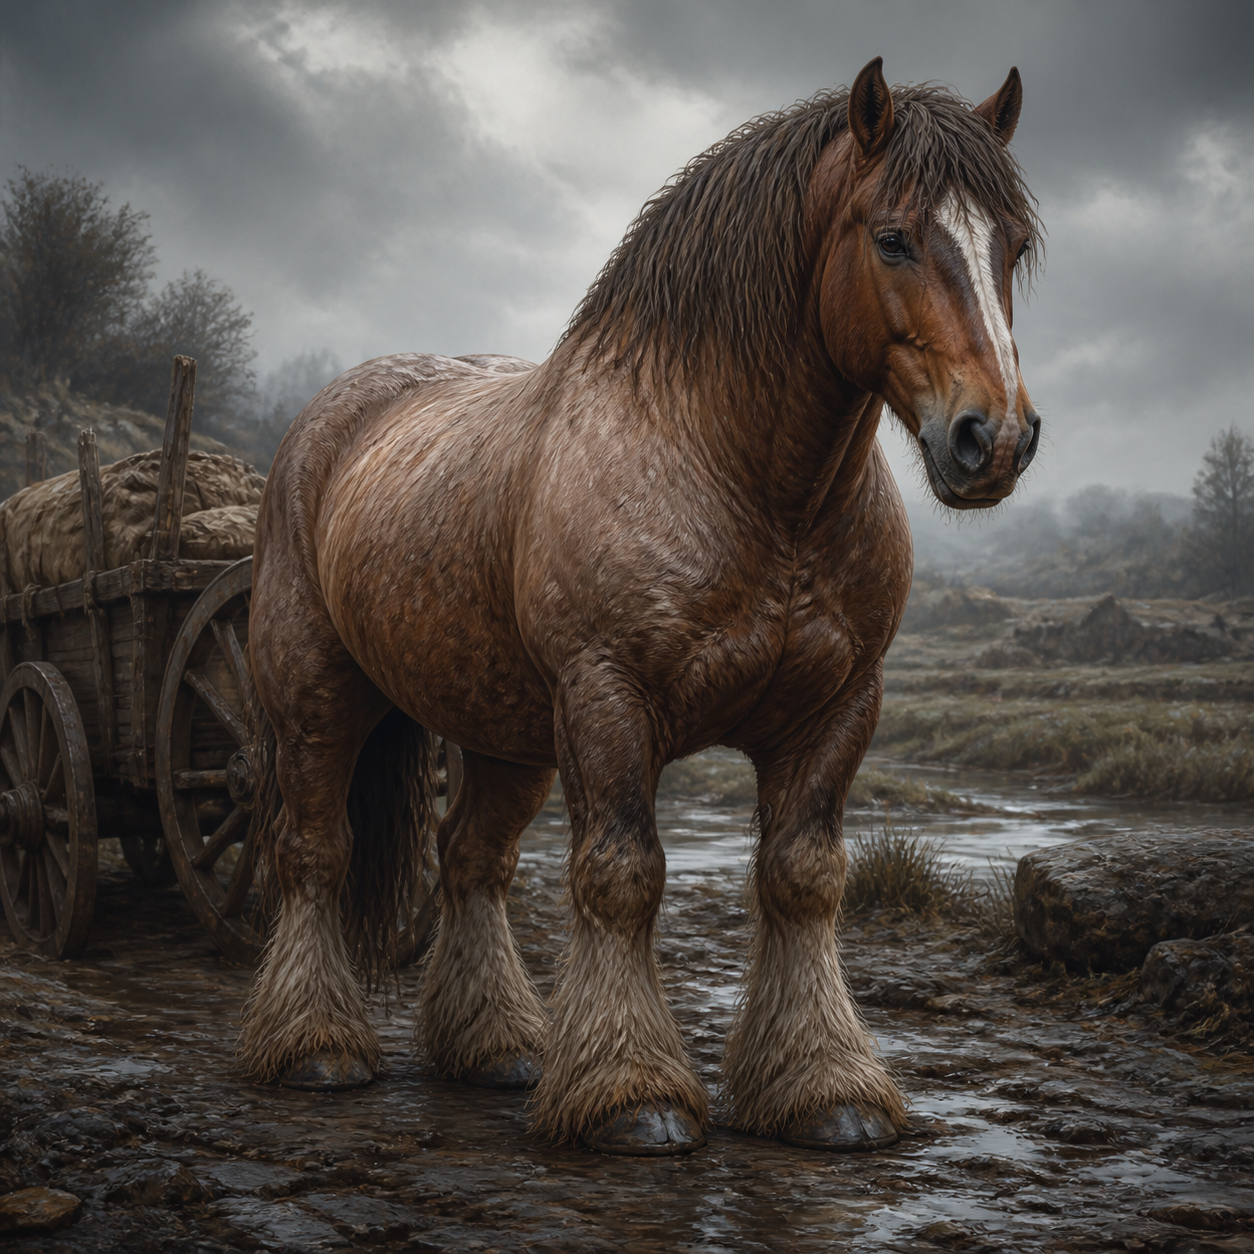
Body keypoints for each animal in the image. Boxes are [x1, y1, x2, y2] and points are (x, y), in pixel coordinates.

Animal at [240, 57, 1042, 1156]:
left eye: (1014, 246)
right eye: (893, 236)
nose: (992, 439)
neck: (744, 481)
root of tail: (332, 417)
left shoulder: (836, 711)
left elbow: (804, 880)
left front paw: (824, 1088)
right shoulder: (608, 701)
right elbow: (622, 876)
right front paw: (632, 1093)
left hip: (505, 734)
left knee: (472, 861)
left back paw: (500, 1047)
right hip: (318, 697)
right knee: (314, 852)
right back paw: (316, 1045)